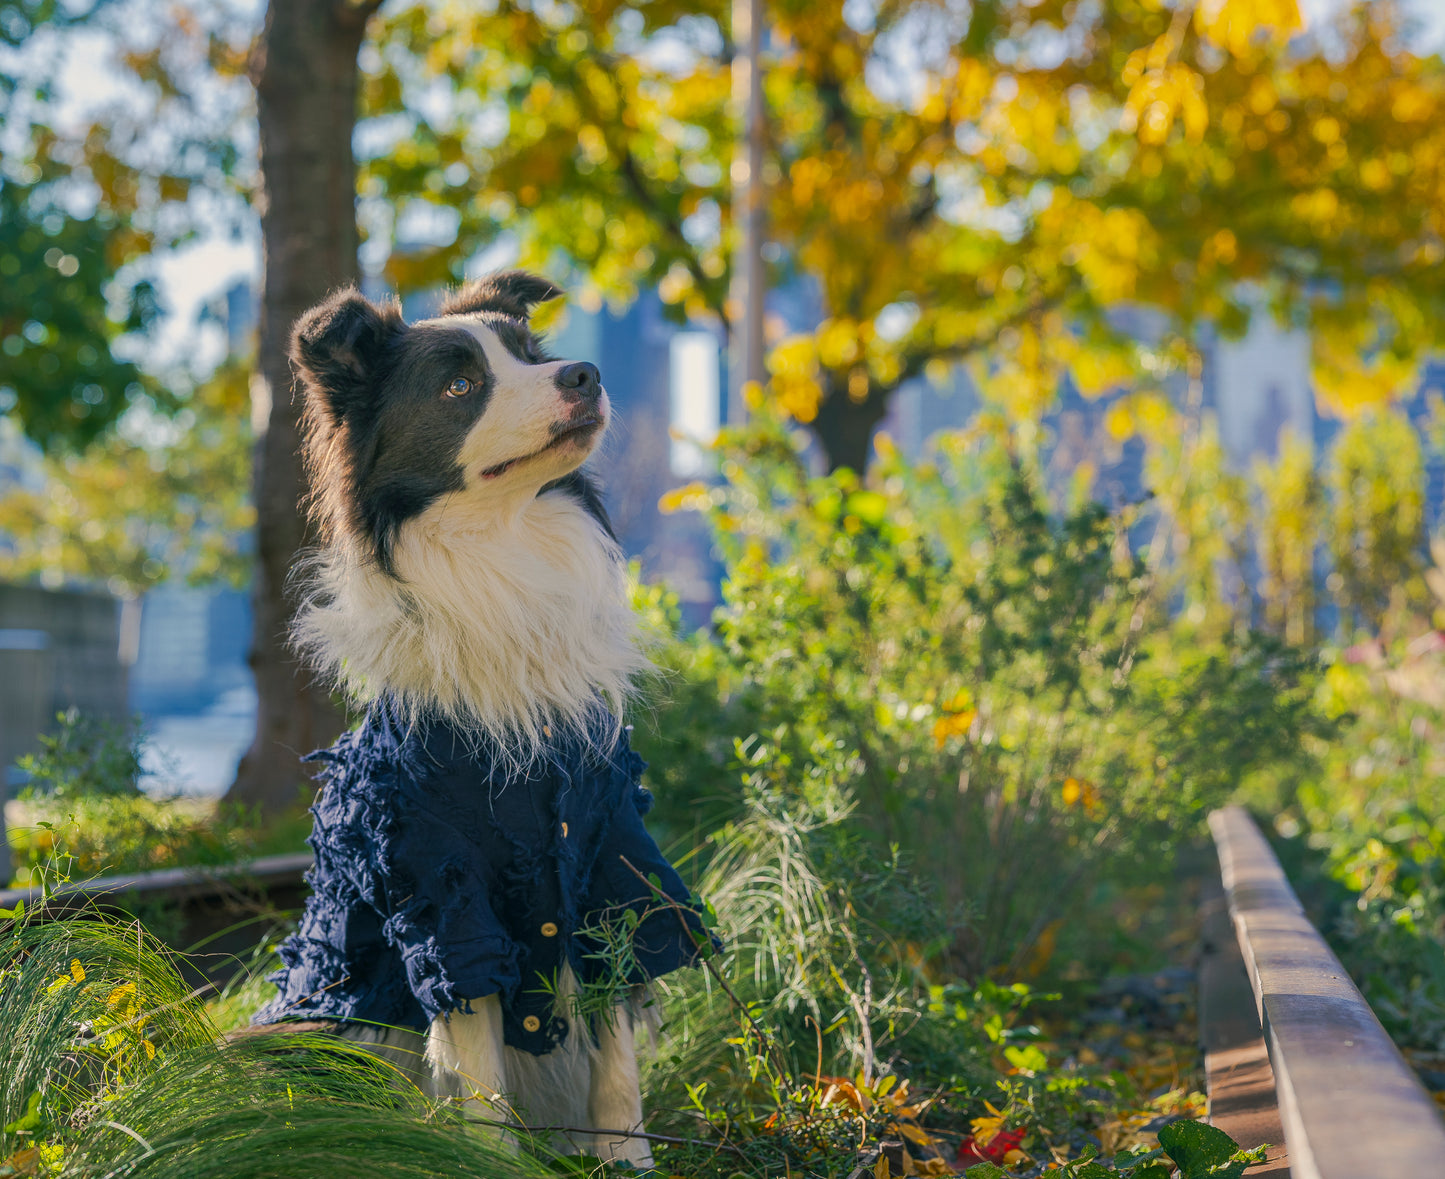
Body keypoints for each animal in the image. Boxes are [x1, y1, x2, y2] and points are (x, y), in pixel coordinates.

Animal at [257, 271, 719, 1167]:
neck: (504, 551)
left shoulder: (606, 857)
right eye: (460, 386)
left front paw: (626, 1159)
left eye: (532, 354)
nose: (584, 374)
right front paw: (490, 1161)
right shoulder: (440, 883)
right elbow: (478, 1068)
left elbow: (615, 1059)